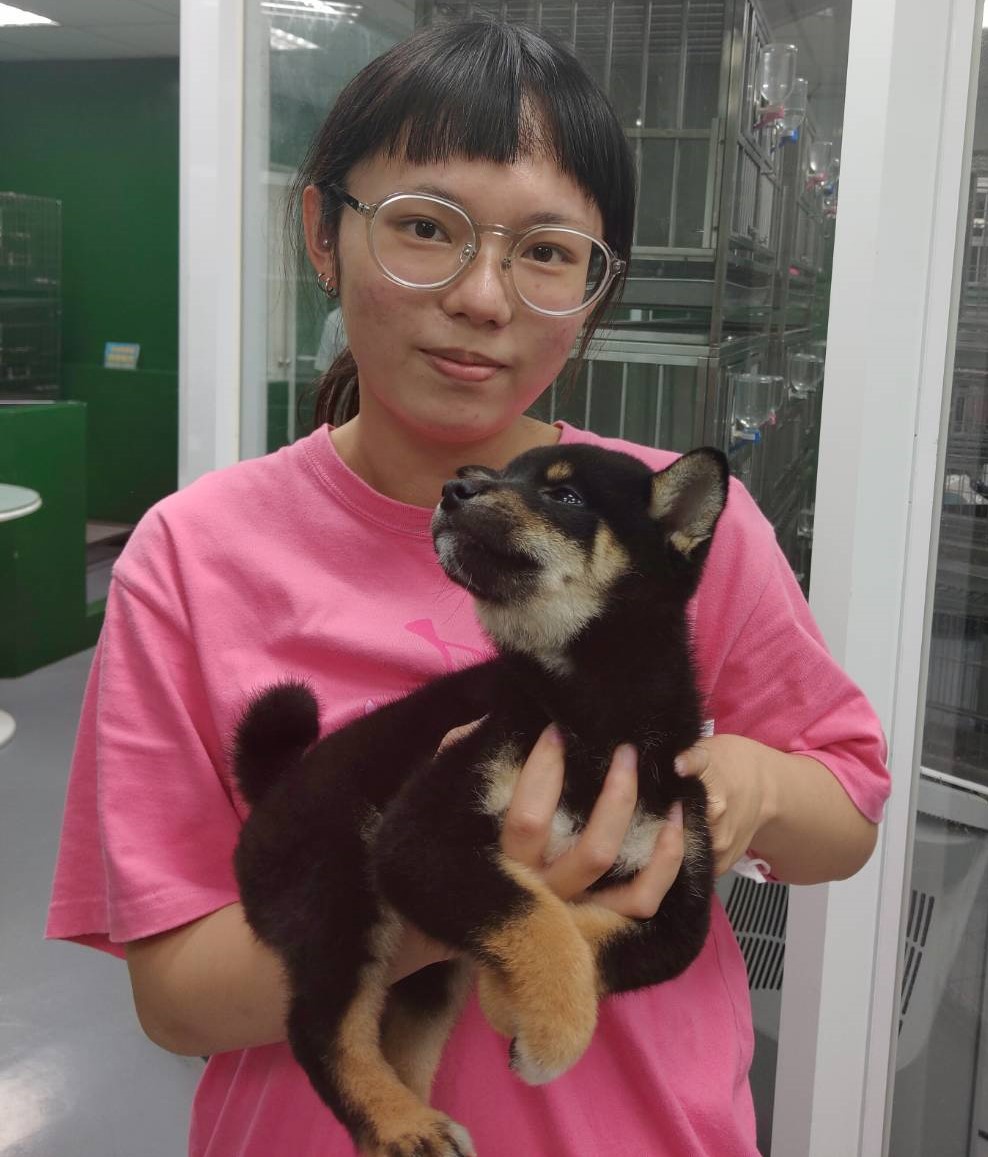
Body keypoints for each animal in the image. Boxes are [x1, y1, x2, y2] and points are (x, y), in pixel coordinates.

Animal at [232, 443, 729, 1157]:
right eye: (498, 475)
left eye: (565, 497)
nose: (455, 489)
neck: (592, 718)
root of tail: (277, 786)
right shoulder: (420, 837)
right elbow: (540, 921)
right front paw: (547, 1037)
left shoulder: (677, 899)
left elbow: (597, 941)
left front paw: (505, 997)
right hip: (340, 894)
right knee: (319, 1029)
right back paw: (402, 1125)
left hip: (421, 973)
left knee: (399, 1040)